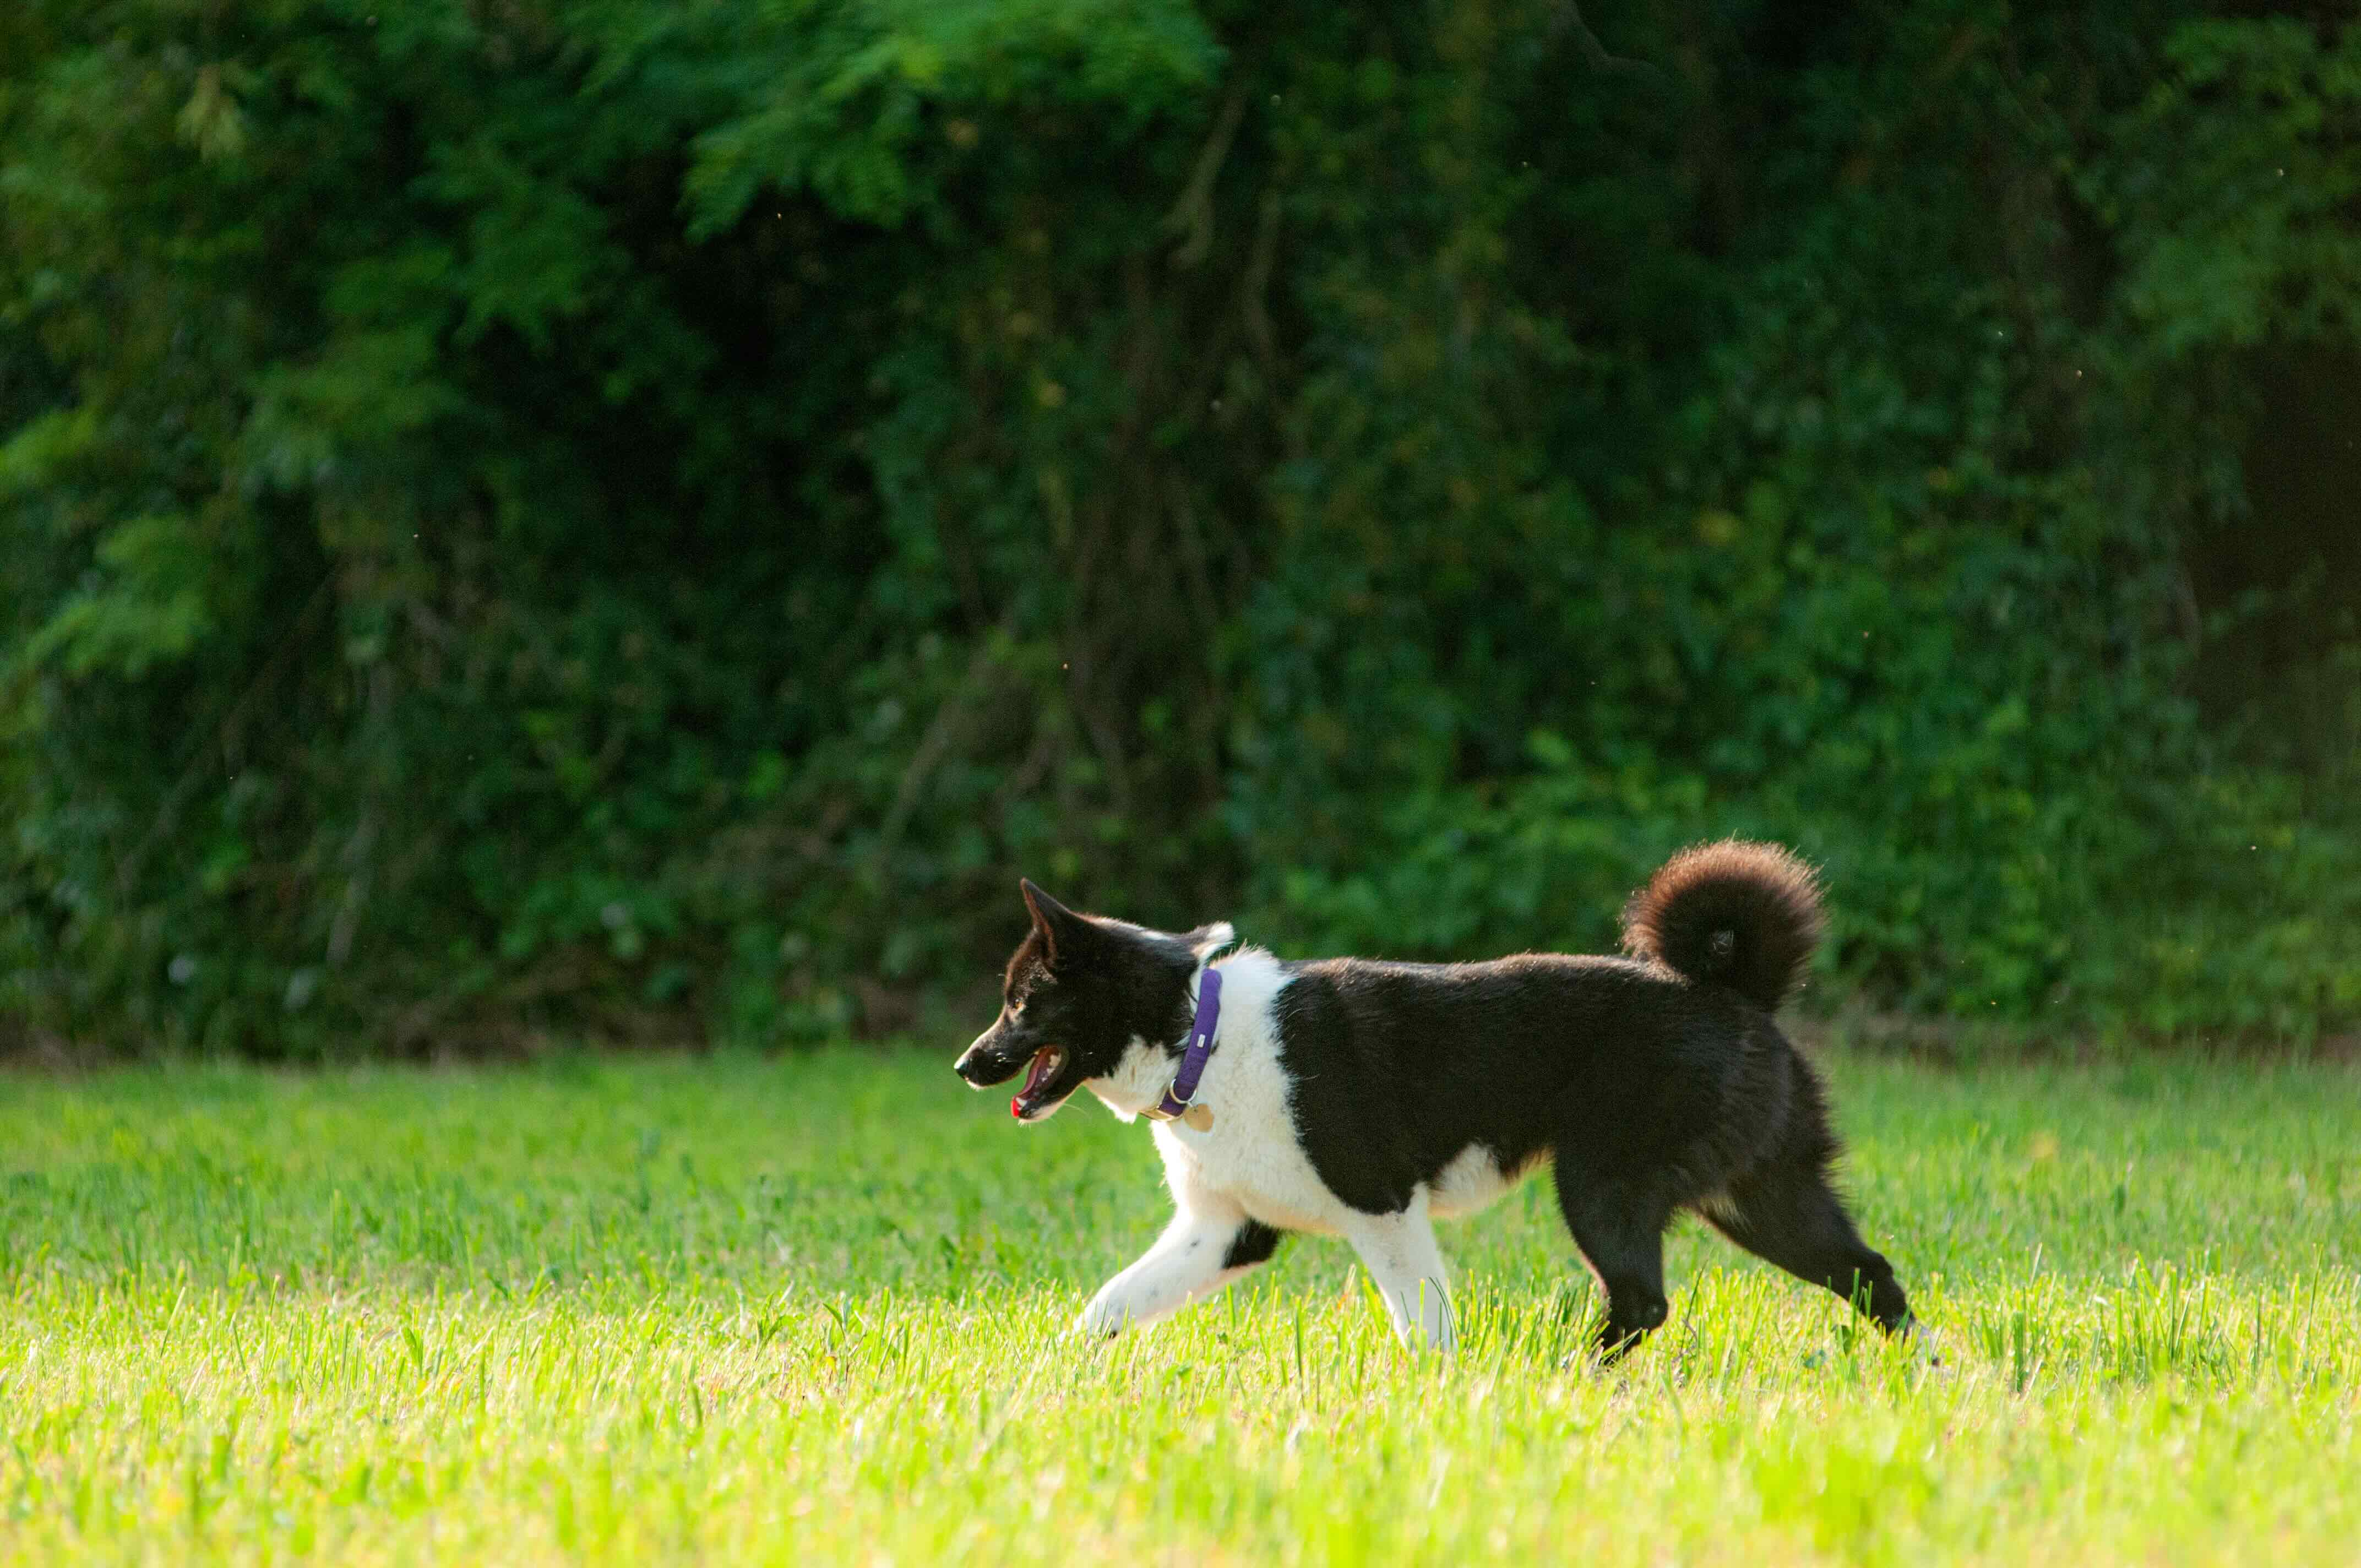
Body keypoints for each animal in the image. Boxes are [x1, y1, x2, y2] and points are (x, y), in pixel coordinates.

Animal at [954, 840, 1917, 1369]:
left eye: (1022, 1001)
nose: (966, 1065)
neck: (1202, 1033)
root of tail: (1735, 992)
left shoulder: (1382, 1208)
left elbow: (1424, 1324)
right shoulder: (1223, 1231)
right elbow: (1109, 1306)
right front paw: (1050, 1377)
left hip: (1603, 1185)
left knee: (1644, 1301)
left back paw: (1571, 1375)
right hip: (1761, 1196)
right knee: (1870, 1274)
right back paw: (1927, 1375)